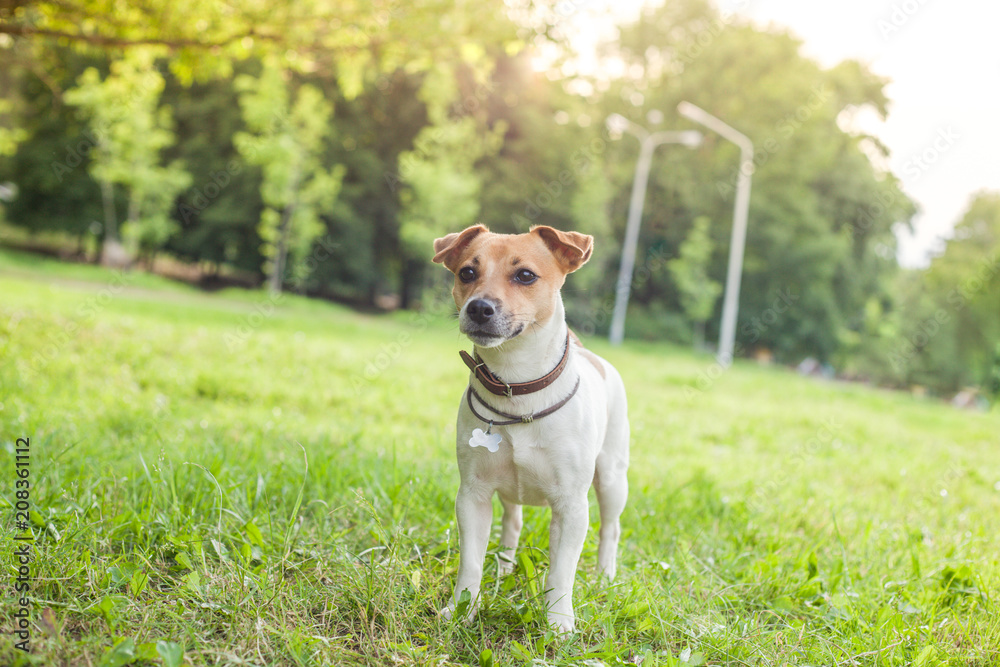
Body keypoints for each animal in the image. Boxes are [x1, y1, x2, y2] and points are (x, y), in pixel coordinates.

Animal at [432, 223, 632, 632]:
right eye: (467, 272)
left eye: (525, 275)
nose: (479, 307)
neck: (517, 386)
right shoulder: (473, 495)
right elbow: (470, 561)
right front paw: (462, 609)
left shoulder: (571, 506)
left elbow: (561, 572)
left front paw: (558, 622)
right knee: (512, 521)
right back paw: (505, 567)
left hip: (612, 477)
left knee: (611, 528)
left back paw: (605, 576)